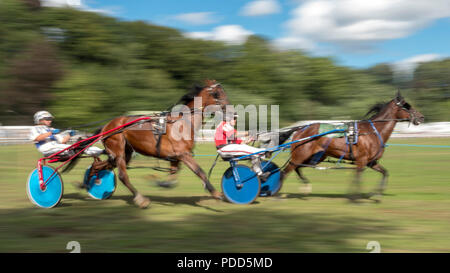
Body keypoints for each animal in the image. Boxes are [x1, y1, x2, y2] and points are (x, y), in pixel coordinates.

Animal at [97, 79, 230, 207]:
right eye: (216, 93)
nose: (231, 112)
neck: (182, 123)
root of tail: (106, 126)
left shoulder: (176, 157)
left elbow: (173, 177)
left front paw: (160, 182)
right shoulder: (184, 154)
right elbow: (200, 171)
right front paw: (216, 194)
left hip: (125, 153)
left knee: (100, 166)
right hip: (118, 151)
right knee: (122, 176)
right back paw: (141, 199)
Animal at [284, 91, 424, 200]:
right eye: (407, 106)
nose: (421, 117)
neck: (372, 132)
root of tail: (300, 129)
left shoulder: (371, 162)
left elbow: (384, 173)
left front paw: (376, 194)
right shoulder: (361, 160)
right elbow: (358, 178)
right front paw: (355, 198)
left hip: (314, 157)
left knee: (297, 168)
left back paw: (305, 187)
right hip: (301, 154)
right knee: (286, 171)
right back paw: (281, 194)